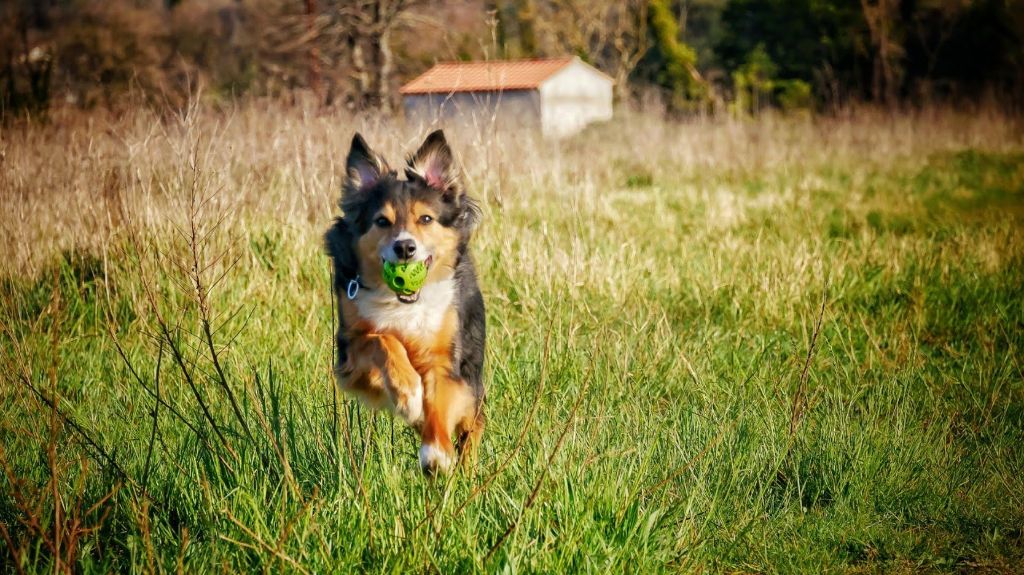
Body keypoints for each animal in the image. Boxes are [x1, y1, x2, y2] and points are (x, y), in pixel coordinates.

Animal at [327, 129, 487, 474]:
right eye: (381, 221)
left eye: (425, 218)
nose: (404, 248)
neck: (404, 303)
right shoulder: (350, 350)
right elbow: (382, 340)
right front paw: (408, 393)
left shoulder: (444, 355)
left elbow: (440, 400)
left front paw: (435, 452)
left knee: (474, 420)